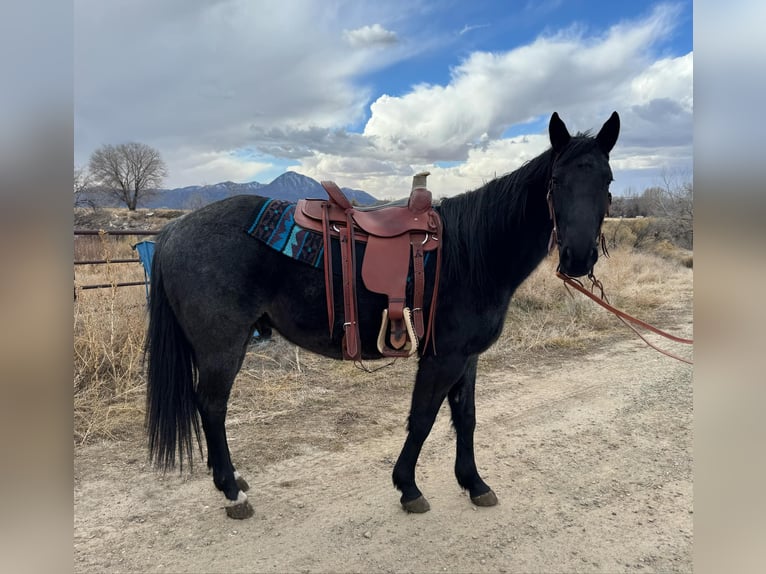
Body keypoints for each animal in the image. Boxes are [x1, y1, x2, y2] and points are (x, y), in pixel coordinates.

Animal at [147, 110, 620, 520]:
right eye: (556, 180)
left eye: (607, 180)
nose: (578, 257)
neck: (473, 253)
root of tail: (173, 230)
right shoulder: (443, 357)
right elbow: (423, 418)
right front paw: (408, 486)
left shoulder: (467, 357)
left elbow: (465, 417)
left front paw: (474, 483)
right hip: (222, 346)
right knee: (212, 407)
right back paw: (231, 491)